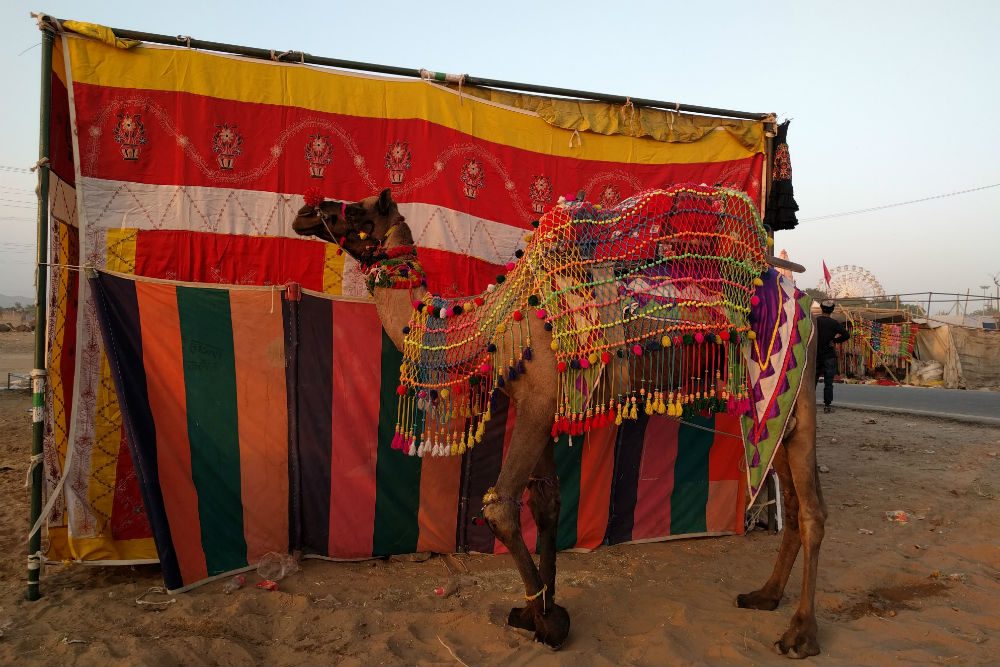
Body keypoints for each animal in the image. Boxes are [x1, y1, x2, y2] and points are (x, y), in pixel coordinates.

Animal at [292, 189, 828, 656]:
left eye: (358, 210)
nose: (304, 211)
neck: (490, 330)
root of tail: (809, 299)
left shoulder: (537, 401)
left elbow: (501, 505)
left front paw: (549, 623)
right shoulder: (544, 410)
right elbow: (546, 504)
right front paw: (536, 609)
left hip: (794, 389)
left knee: (811, 510)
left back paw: (800, 633)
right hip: (768, 412)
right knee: (791, 496)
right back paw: (764, 596)